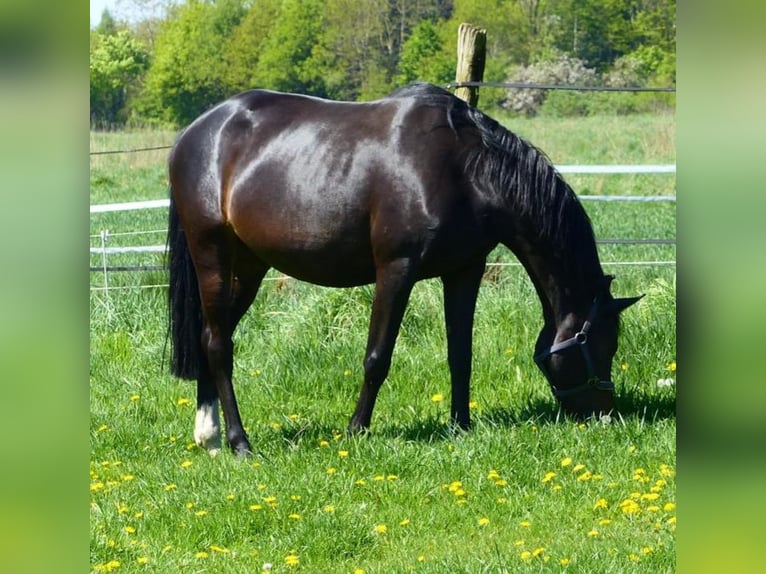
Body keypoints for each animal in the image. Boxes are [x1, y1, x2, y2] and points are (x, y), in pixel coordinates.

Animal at [167, 82, 642, 455]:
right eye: (602, 344)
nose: (606, 415)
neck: (466, 169)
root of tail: (197, 132)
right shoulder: (397, 270)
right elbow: (377, 357)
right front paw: (356, 431)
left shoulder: (465, 270)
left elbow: (460, 354)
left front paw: (460, 427)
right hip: (213, 254)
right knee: (218, 346)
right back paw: (238, 442)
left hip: (249, 266)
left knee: (211, 337)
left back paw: (208, 437)